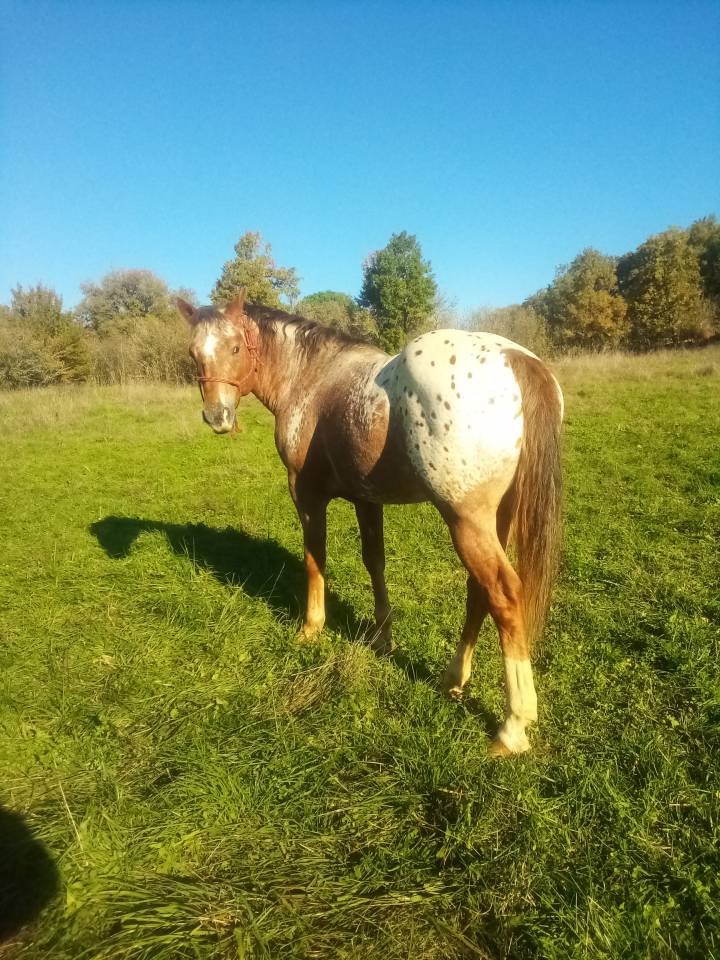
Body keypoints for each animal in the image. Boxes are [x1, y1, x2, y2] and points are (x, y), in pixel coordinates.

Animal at [177, 290, 563, 756]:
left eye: (235, 347)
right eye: (194, 352)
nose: (217, 416)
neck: (312, 377)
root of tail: (514, 358)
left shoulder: (306, 496)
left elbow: (315, 558)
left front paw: (311, 628)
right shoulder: (366, 499)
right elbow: (374, 561)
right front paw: (382, 638)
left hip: (466, 522)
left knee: (503, 595)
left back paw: (512, 726)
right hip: (492, 521)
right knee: (479, 593)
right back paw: (453, 680)